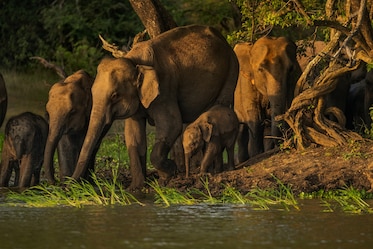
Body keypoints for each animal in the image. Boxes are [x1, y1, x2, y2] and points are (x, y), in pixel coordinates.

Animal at [71, 24, 237, 189]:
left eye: (115, 96)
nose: (69, 184)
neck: (133, 60)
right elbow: (133, 135)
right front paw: (136, 188)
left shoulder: (164, 89)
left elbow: (172, 125)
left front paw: (168, 174)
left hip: (231, 70)